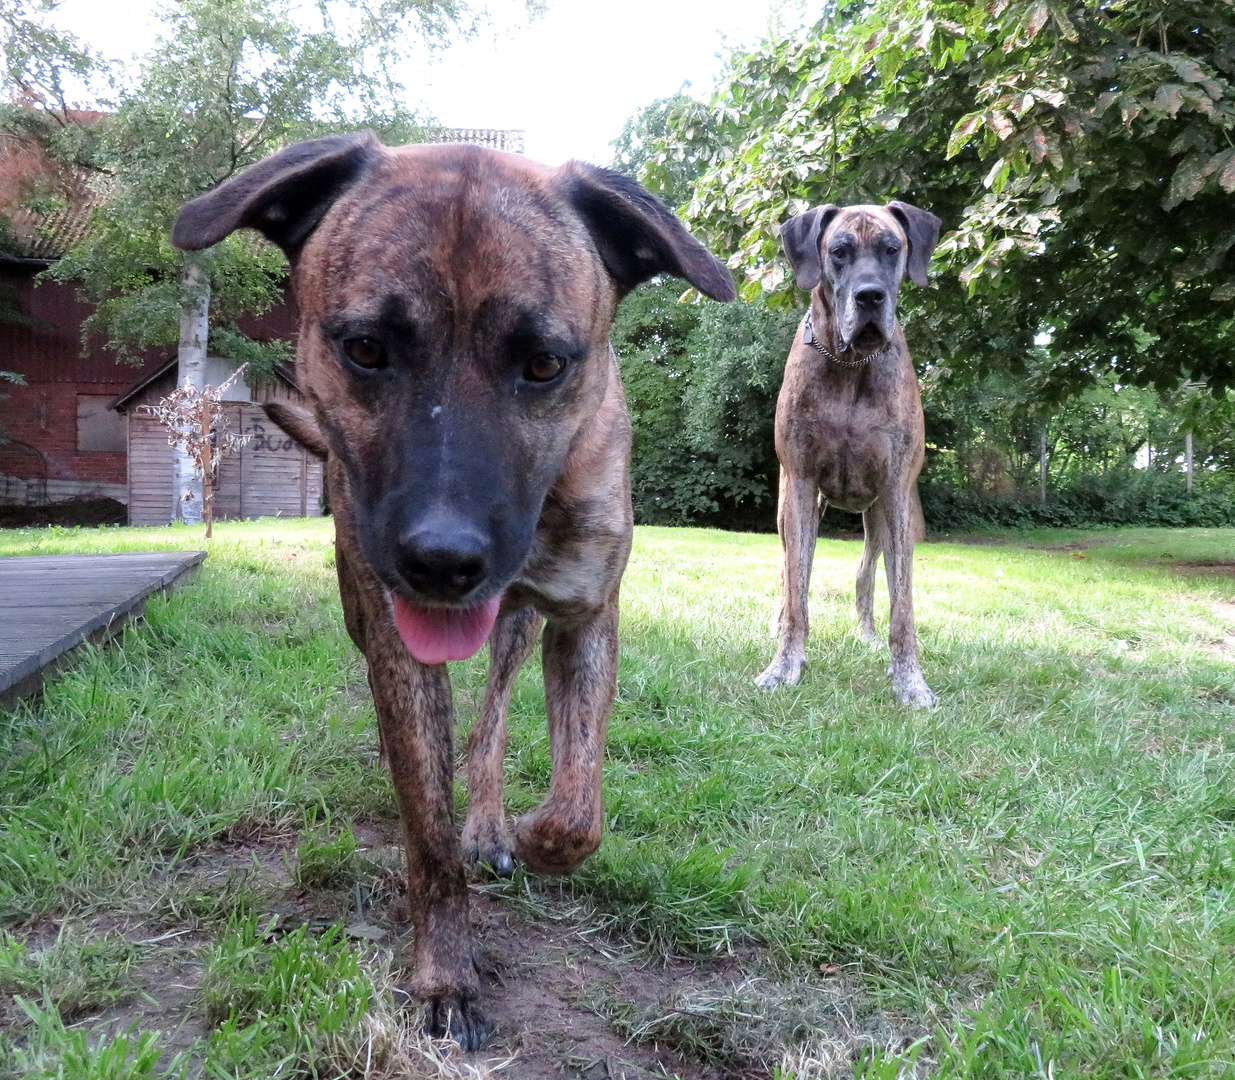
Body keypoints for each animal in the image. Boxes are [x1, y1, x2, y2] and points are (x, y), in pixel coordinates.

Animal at [174, 130, 731, 1037]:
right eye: (366, 348)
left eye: (544, 363)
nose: (443, 560)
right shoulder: (396, 638)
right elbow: (426, 827)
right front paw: (445, 976)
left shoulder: (583, 616)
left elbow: (577, 811)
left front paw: (532, 834)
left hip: (518, 625)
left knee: (492, 722)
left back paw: (495, 818)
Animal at [750, 202, 943, 706]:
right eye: (839, 251)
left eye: (892, 249)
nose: (870, 296)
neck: (851, 364)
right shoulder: (800, 485)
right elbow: (797, 590)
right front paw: (784, 664)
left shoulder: (895, 493)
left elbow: (903, 604)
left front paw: (909, 678)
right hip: (789, 509)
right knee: (790, 575)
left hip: (880, 518)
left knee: (866, 575)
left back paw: (868, 636)